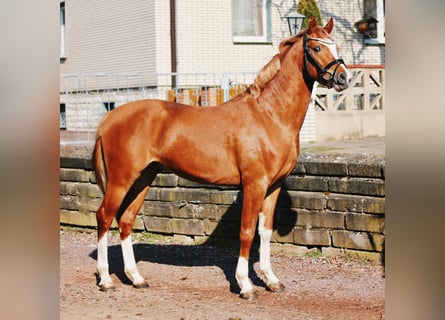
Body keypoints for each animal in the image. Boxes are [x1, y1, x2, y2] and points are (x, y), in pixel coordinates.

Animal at [93, 18, 350, 300]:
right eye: (316, 48)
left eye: (336, 46)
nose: (344, 77)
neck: (269, 115)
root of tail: (111, 117)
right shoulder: (254, 184)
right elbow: (247, 232)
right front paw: (246, 285)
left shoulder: (273, 187)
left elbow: (265, 231)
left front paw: (271, 280)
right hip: (121, 180)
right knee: (104, 217)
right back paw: (106, 279)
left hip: (144, 178)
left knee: (125, 220)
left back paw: (136, 278)